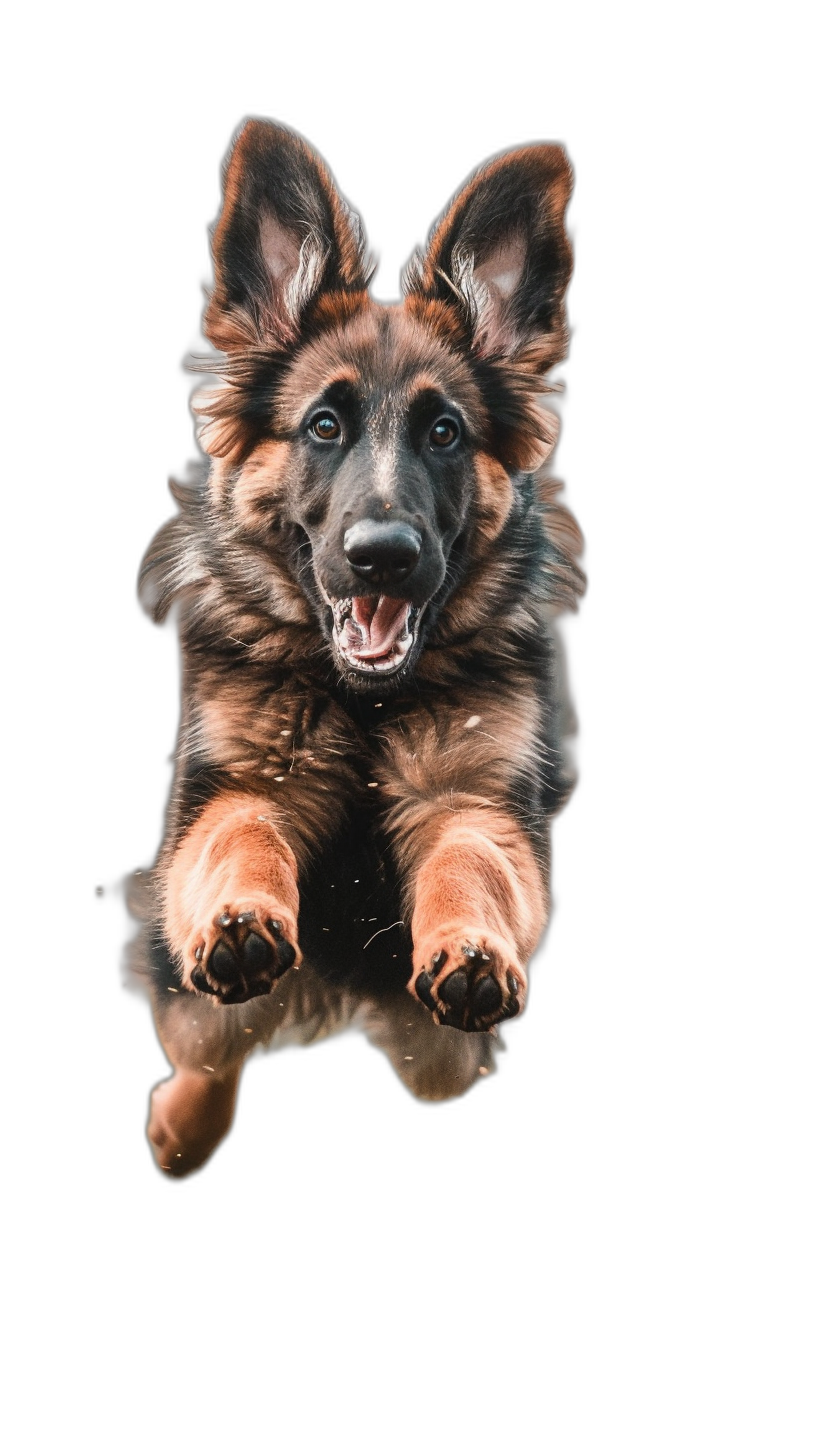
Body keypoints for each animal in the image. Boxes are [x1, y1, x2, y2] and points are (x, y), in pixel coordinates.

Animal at [122, 119, 585, 1176]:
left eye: (445, 432)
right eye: (324, 426)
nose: (383, 557)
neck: (366, 700)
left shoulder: (477, 806)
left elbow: (469, 867)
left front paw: (470, 950)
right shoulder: (237, 791)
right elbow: (242, 844)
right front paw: (241, 922)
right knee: (212, 1037)